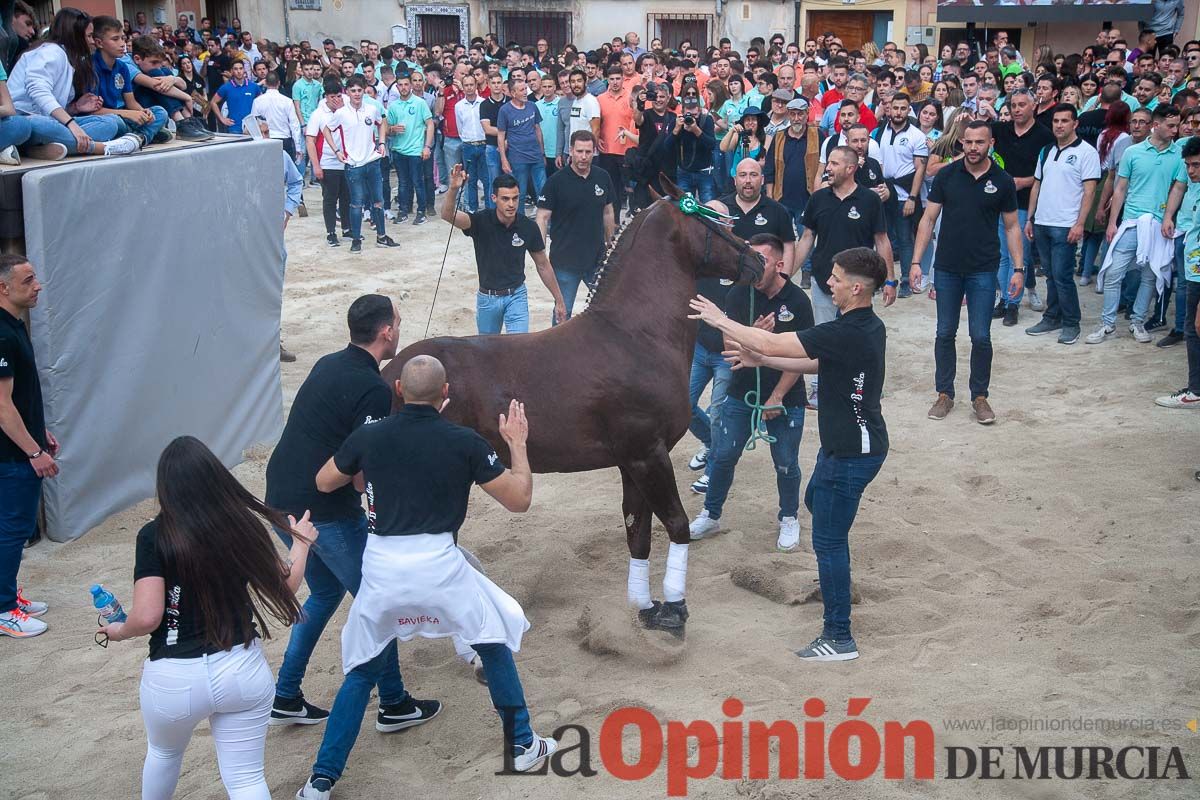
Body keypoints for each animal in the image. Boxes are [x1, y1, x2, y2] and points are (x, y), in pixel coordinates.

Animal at [379, 184, 763, 633]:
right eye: (712, 221)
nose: (758, 260)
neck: (634, 336)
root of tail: (391, 372)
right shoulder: (649, 456)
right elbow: (676, 523)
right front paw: (674, 609)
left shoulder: (630, 461)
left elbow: (638, 531)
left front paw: (646, 608)